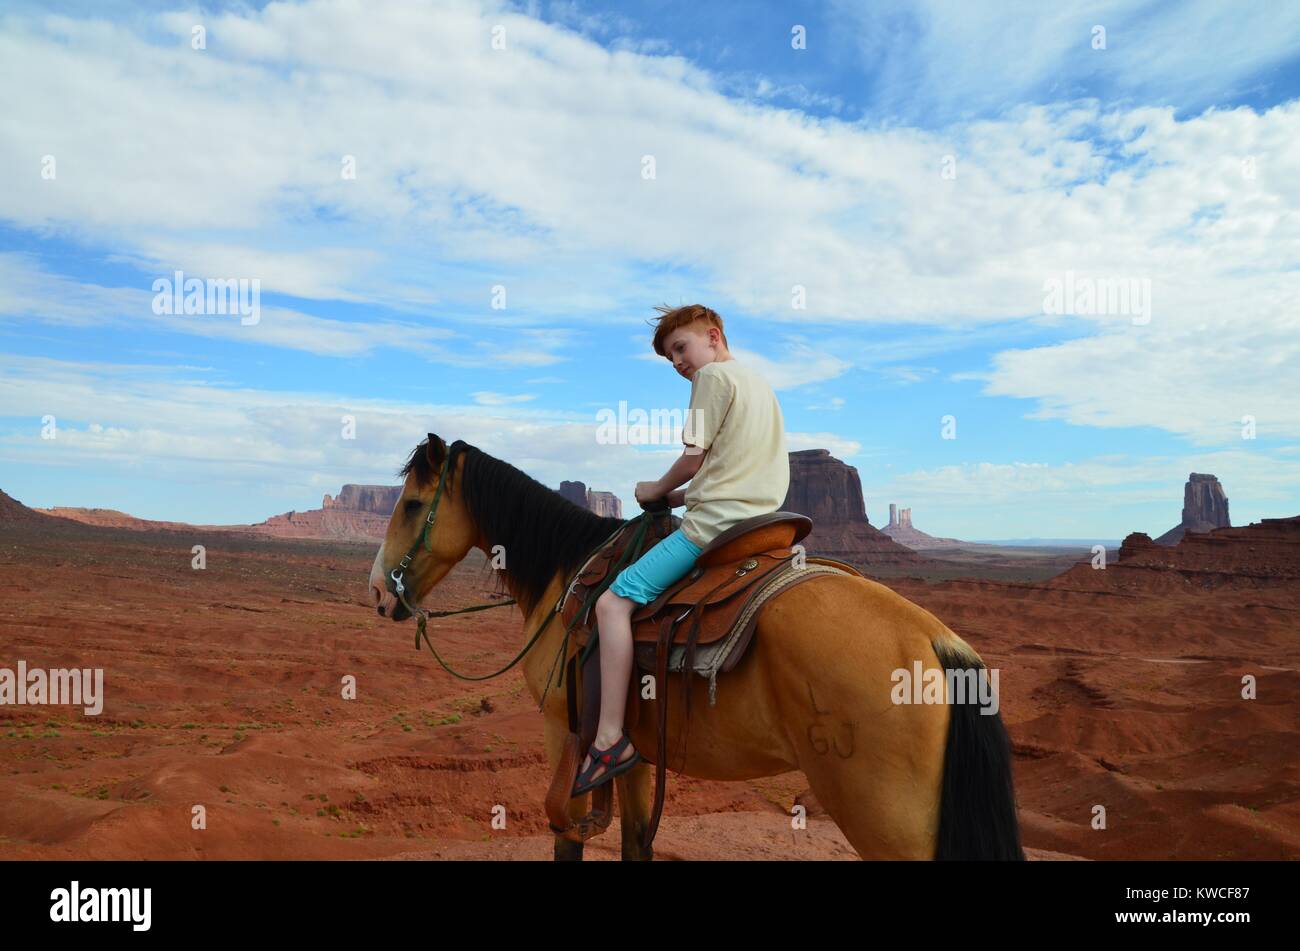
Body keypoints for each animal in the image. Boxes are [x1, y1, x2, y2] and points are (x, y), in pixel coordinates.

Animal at [369, 436, 1024, 862]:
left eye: (411, 505)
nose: (378, 591)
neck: (566, 573)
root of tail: (939, 644)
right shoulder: (633, 751)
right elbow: (635, 839)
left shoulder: (564, 730)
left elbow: (568, 836)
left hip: (890, 823)